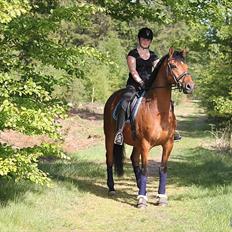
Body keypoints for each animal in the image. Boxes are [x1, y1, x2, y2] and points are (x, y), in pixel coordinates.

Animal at [103, 48, 194, 208]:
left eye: (186, 66)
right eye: (173, 66)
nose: (190, 86)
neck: (158, 110)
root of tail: (112, 98)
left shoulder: (168, 144)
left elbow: (162, 169)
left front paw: (161, 197)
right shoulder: (145, 144)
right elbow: (145, 169)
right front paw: (142, 200)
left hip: (136, 142)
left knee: (133, 160)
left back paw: (141, 188)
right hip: (110, 136)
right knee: (110, 159)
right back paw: (112, 188)